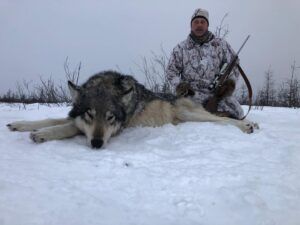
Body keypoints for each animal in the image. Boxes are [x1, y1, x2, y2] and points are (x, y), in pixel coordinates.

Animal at [6, 69, 258, 149]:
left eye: (110, 118)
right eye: (90, 114)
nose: (96, 144)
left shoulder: (114, 129)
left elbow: (65, 127)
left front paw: (40, 135)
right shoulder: (76, 118)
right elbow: (51, 119)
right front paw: (19, 124)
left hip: (189, 113)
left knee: (223, 120)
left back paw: (248, 125)